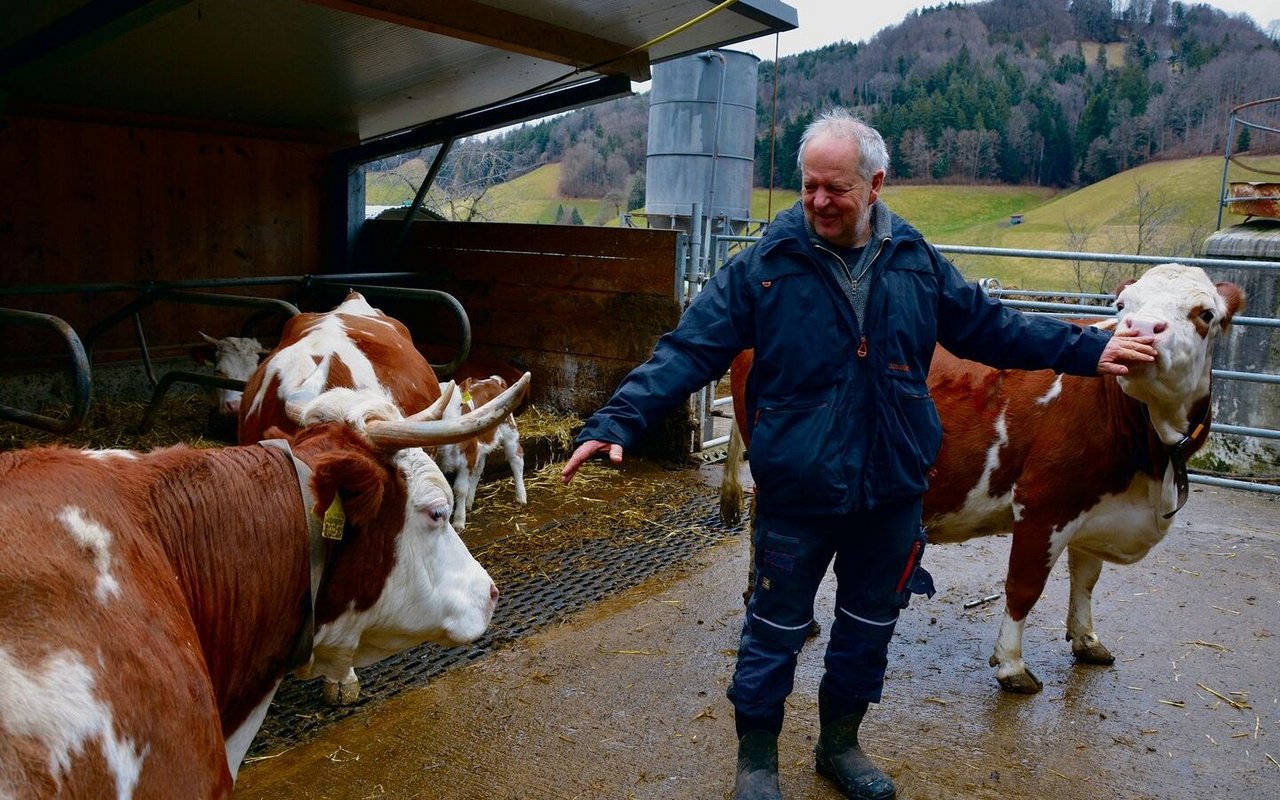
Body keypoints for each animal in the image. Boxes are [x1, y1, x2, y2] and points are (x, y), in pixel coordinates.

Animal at [435, 373, 524, 529]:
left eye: (460, 404)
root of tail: (493, 381)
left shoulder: (468, 455)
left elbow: (460, 489)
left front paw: (458, 521)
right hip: (480, 446)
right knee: (478, 470)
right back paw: (469, 502)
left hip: (509, 430)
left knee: (516, 460)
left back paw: (521, 498)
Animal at [727, 263, 1244, 691]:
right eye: (1122, 308)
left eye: (1205, 313)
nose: (1138, 333)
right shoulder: (1043, 504)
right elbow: (1023, 588)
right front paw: (1012, 665)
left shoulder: (1095, 507)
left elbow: (1086, 580)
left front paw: (1086, 639)